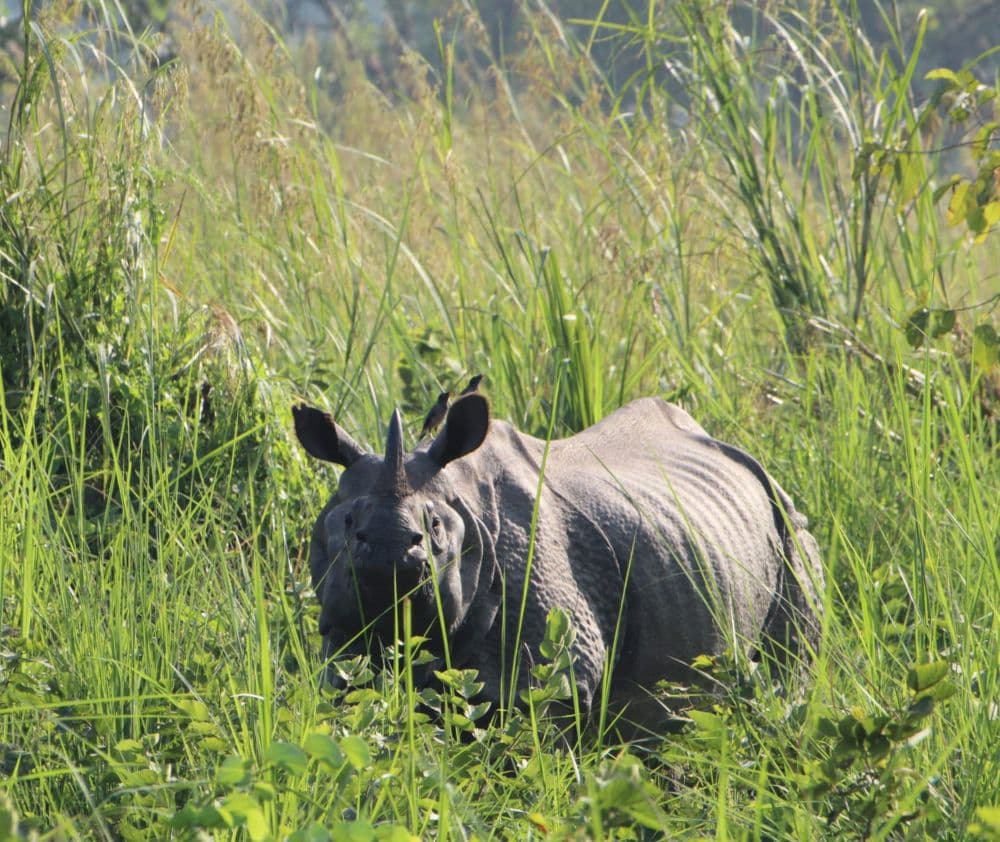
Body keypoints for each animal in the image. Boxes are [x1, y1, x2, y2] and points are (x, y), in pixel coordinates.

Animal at [293, 395, 823, 728]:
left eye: (436, 528)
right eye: (348, 525)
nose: (390, 555)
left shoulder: (552, 675)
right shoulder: (346, 655)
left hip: (790, 525)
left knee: (788, 674)